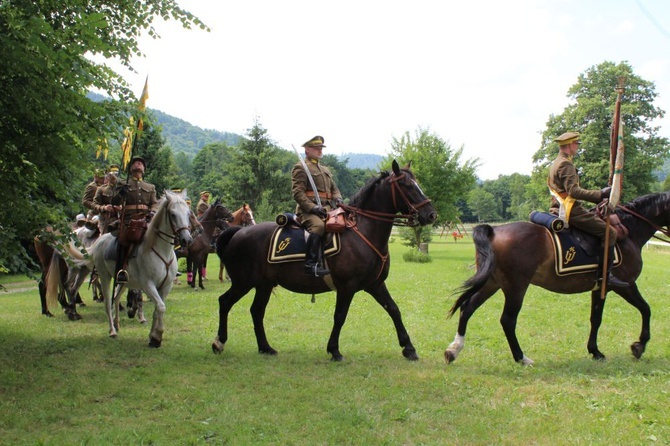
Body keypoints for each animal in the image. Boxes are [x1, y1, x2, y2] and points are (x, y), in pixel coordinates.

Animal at [64, 190, 194, 346]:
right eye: (173, 214)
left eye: (188, 213)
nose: (187, 240)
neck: (160, 251)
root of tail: (99, 241)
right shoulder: (148, 285)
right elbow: (161, 307)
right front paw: (157, 337)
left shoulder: (166, 286)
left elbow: (158, 309)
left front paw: (152, 336)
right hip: (104, 276)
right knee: (107, 302)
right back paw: (112, 330)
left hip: (123, 282)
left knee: (115, 298)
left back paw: (116, 324)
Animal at [213, 160, 438, 362]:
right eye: (407, 186)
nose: (431, 214)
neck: (363, 231)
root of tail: (238, 232)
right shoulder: (347, 287)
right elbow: (340, 316)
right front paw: (334, 350)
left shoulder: (375, 284)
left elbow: (394, 310)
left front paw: (409, 348)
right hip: (244, 283)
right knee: (225, 302)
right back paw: (219, 342)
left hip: (264, 285)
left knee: (257, 311)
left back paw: (265, 348)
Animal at [446, 192, 670, 366]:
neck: (628, 231)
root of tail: (494, 230)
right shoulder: (625, 285)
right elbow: (645, 309)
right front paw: (639, 345)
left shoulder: (600, 288)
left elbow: (596, 319)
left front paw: (595, 351)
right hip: (516, 287)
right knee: (507, 320)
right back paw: (521, 358)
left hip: (492, 283)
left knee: (467, 308)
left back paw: (453, 350)